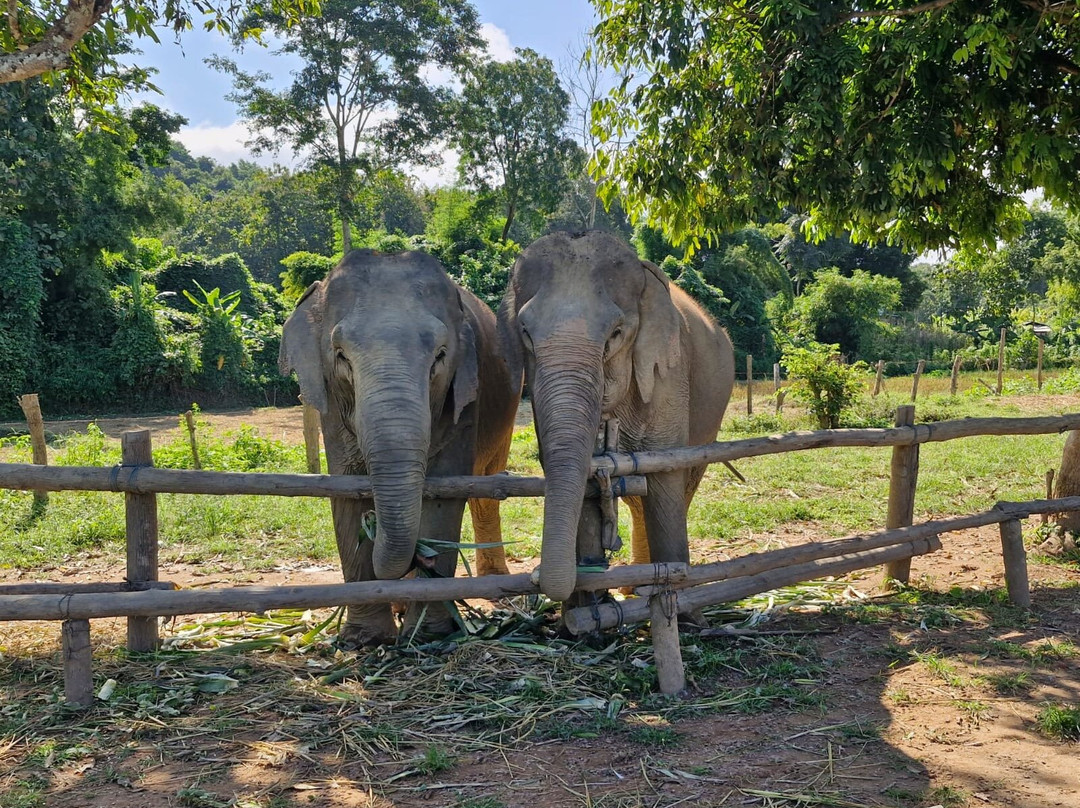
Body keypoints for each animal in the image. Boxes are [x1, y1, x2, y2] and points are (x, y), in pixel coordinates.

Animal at [279, 249, 521, 646]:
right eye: (340, 354)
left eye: (440, 354)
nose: (419, 560)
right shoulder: (331, 406)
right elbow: (346, 492)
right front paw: (365, 639)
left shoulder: (466, 398)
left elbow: (444, 495)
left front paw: (426, 634)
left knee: (485, 488)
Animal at [499, 230, 735, 603]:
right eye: (525, 332)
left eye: (615, 333)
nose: (535, 578)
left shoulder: (669, 373)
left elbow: (665, 474)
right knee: (639, 499)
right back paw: (633, 587)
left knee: (684, 484)